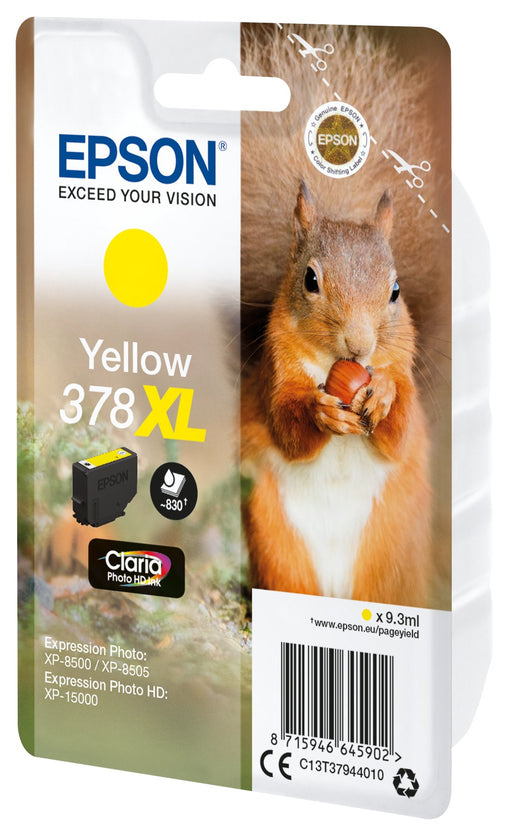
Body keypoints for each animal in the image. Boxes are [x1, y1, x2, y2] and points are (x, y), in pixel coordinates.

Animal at [239, 24, 451, 607]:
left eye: (396, 291)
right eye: (310, 280)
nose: (359, 347)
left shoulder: (403, 366)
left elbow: (399, 430)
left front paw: (382, 395)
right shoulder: (275, 371)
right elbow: (286, 426)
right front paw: (319, 412)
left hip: (390, 554)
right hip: (277, 542)